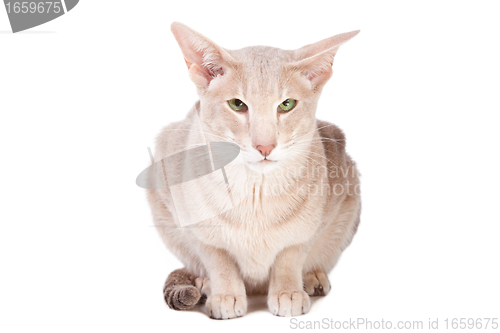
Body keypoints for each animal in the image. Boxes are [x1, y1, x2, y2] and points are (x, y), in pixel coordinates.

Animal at [146, 22, 362, 318]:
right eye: (237, 105)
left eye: (286, 105)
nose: (265, 146)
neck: (255, 193)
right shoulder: (189, 221)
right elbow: (218, 258)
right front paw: (225, 293)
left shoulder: (315, 223)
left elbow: (290, 255)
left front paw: (287, 290)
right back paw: (204, 283)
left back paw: (312, 277)